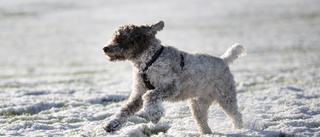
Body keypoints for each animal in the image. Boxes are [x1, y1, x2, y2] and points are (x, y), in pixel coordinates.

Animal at [102, 20, 245, 134]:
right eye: (114, 37)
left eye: (122, 38)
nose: (105, 48)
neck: (148, 61)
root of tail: (224, 60)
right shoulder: (138, 94)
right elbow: (124, 110)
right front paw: (111, 125)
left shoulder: (171, 86)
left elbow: (150, 96)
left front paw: (155, 115)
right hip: (198, 103)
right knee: (202, 120)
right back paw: (207, 132)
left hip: (226, 96)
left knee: (236, 115)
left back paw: (240, 130)